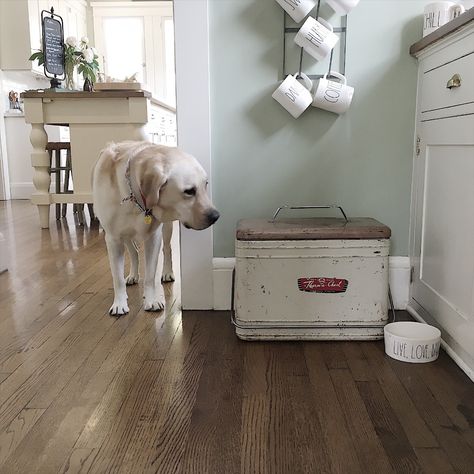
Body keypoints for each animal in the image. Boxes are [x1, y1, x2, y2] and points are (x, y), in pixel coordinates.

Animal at [92, 143, 220, 316]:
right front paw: (119, 303)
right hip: (125, 235)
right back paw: (133, 275)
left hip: (166, 229)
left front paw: (151, 300)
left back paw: (167, 272)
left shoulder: (153, 237)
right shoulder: (113, 239)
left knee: (167, 249)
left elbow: (150, 275)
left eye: (205, 184)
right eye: (189, 191)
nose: (215, 216)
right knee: (134, 252)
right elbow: (117, 278)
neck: (135, 199)